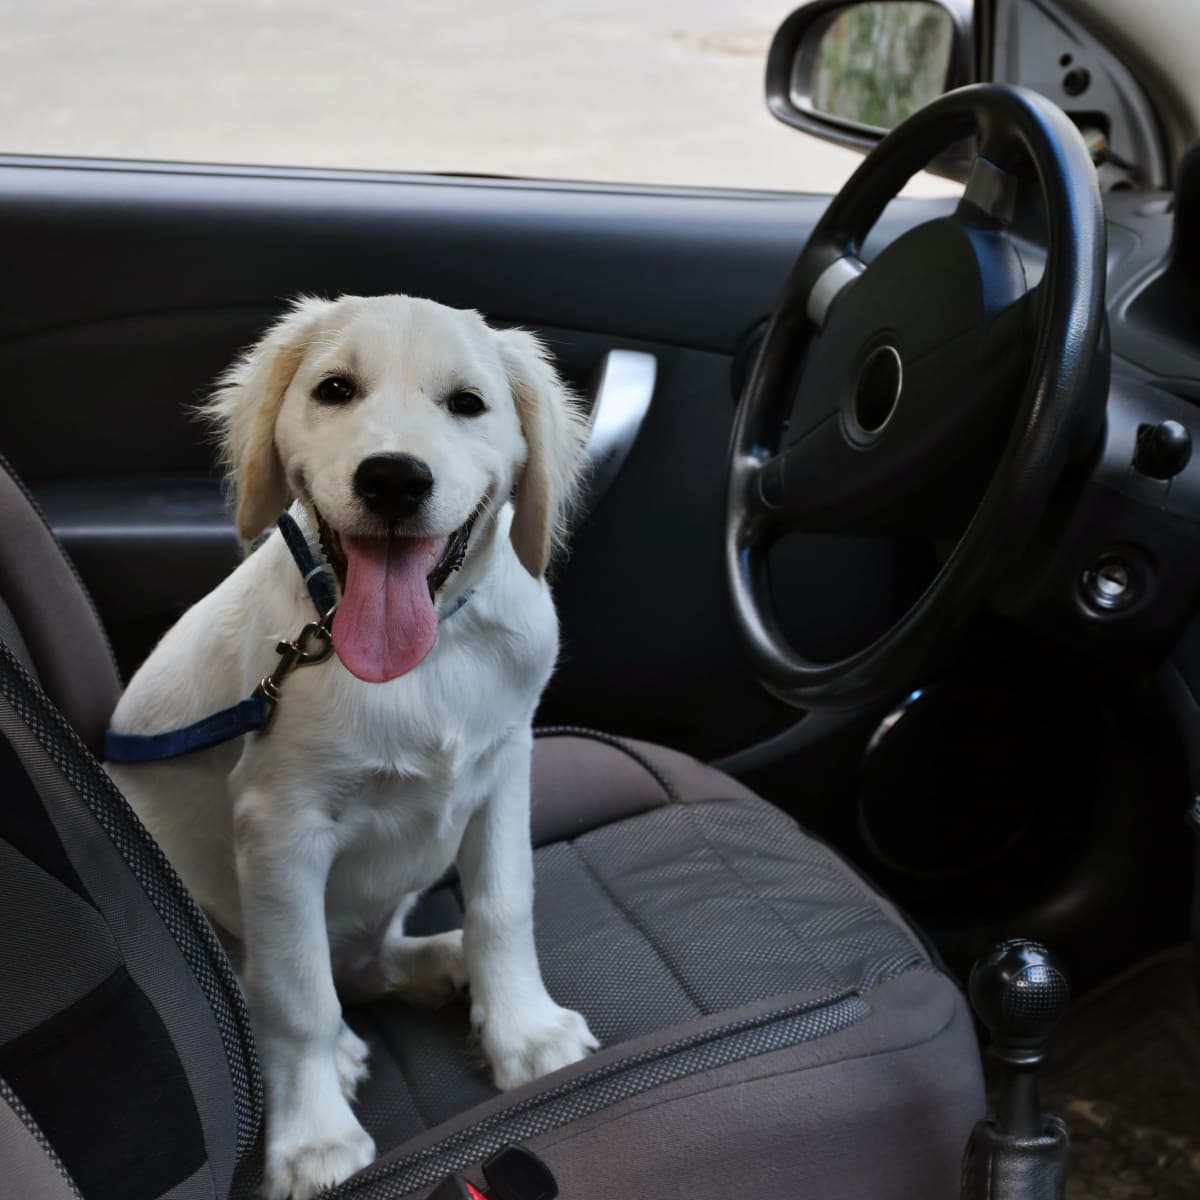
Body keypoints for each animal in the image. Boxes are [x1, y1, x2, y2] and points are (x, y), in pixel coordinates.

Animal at [108, 295, 600, 1200]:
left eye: (468, 403)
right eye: (335, 389)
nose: (394, 480)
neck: (430, 655)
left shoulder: (506, 764)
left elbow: (503, 905)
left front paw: (523, 1031)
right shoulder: (281, 827)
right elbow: (296, 995)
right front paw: (313, 1140)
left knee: (368, 965)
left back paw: (442, 962)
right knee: (283, 984)